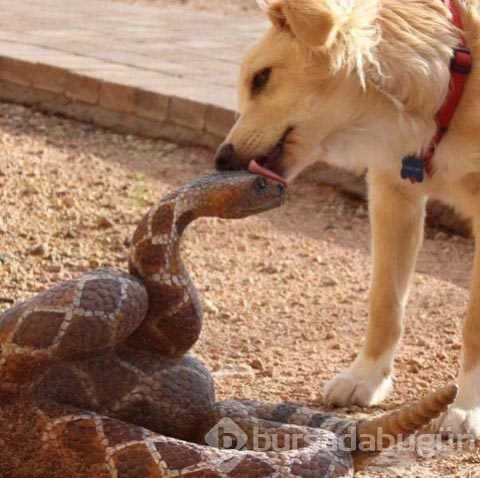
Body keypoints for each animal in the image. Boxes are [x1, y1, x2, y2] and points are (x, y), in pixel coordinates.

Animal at [216, 0, 480, 436]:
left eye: (262, 78)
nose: (220, 160)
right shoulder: (393, 191)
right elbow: (385, 303)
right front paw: (366, 377)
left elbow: (474, 321)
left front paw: (470, 404)